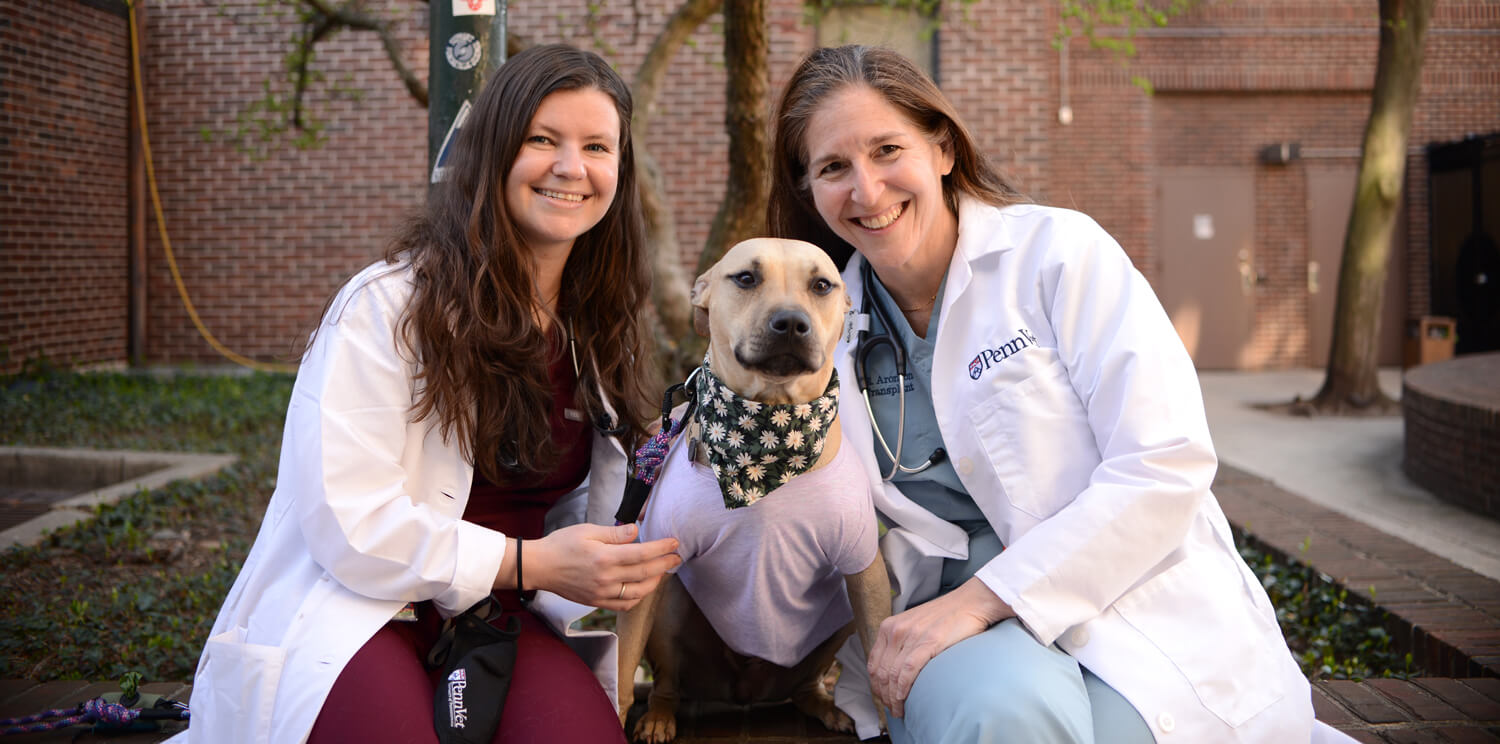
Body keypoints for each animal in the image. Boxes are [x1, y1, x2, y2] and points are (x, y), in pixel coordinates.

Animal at [618, 238, 888, 744]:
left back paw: (825, 706)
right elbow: (622, 670)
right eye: (745, 278)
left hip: (836, 619)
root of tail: (744, 692)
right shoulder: (647, 566)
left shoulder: (865, 570)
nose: (792, 323)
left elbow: (883, 659)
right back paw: (660, 716)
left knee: (806, 684)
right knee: (666, 683)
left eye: (821, 285)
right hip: (670, 608)